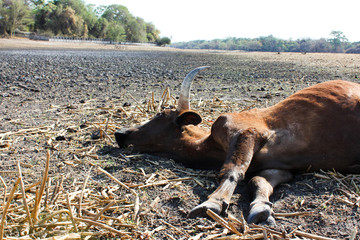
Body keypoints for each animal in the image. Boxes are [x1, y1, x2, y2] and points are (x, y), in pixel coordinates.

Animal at [114, 66, 360, 224]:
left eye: (159, 114)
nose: (119, 133)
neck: (207, 146)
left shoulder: (245, 131)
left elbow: (232, 170)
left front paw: (212, 203)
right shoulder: (279, 169)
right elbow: (258, 180)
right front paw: (261, 207)